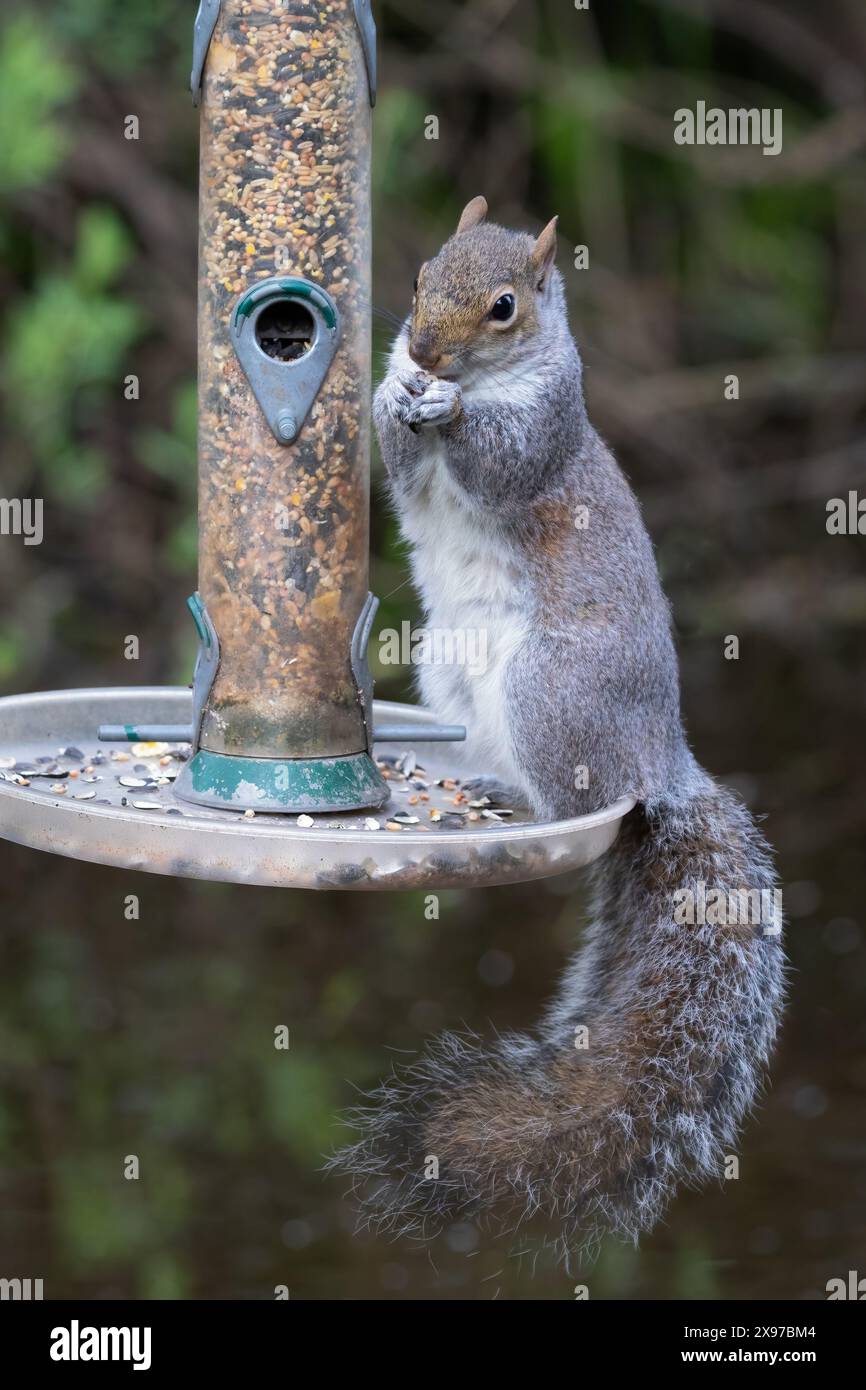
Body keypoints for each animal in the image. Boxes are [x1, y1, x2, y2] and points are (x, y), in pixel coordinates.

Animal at [330, 201, 783, 1256]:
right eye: (419, 276)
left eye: (504, 307)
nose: (422, 350)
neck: (487, 377)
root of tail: (663, 761)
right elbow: (395, 460)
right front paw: (397, 392)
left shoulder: (544, 428)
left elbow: (500, 462)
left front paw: (449, 415)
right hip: (451, 674)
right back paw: (484, 784)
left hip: (551, 692)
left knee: (580, 795)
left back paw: (534, 804)